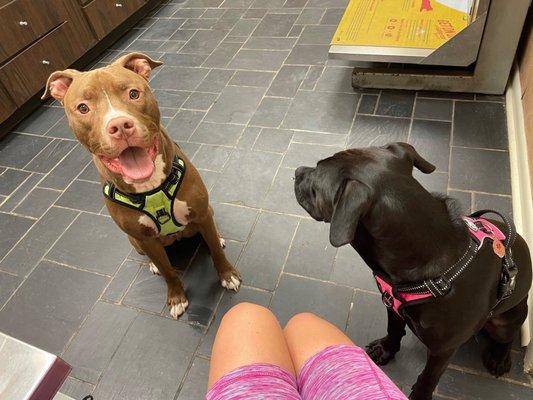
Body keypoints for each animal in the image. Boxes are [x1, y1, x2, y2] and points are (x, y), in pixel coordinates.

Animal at [41, 52, 241, 318]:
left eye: (133, 93)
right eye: (83, 108)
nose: (119, 126)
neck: (151, 187)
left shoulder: (200, 212)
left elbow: (217, 253)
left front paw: (228, 275)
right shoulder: (144, 239)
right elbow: (168, 272)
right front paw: (176, 297)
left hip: (206, 213)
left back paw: (217, 238)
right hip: (135, 242)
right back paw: (153, 265)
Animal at [294, 142, 528, 398]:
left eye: (315, 182)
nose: (296, 171)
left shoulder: (443, 349)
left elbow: (429, 377)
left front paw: (420, 393)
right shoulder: (392, 304)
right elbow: (394, 328)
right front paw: (385, 348)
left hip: (506, 319)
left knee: (509, 336)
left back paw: (500, 358)